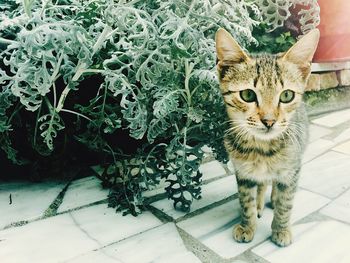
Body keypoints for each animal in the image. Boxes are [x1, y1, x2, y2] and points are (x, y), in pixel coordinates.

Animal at [215, 28, 318, 248]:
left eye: (287, 95)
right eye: (247, 95)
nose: (269, 121)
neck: (261, 149)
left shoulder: (292, 171)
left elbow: (286, 202)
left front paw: (281, 229)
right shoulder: (243, 173)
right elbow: (246, 201)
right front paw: (248, 225)